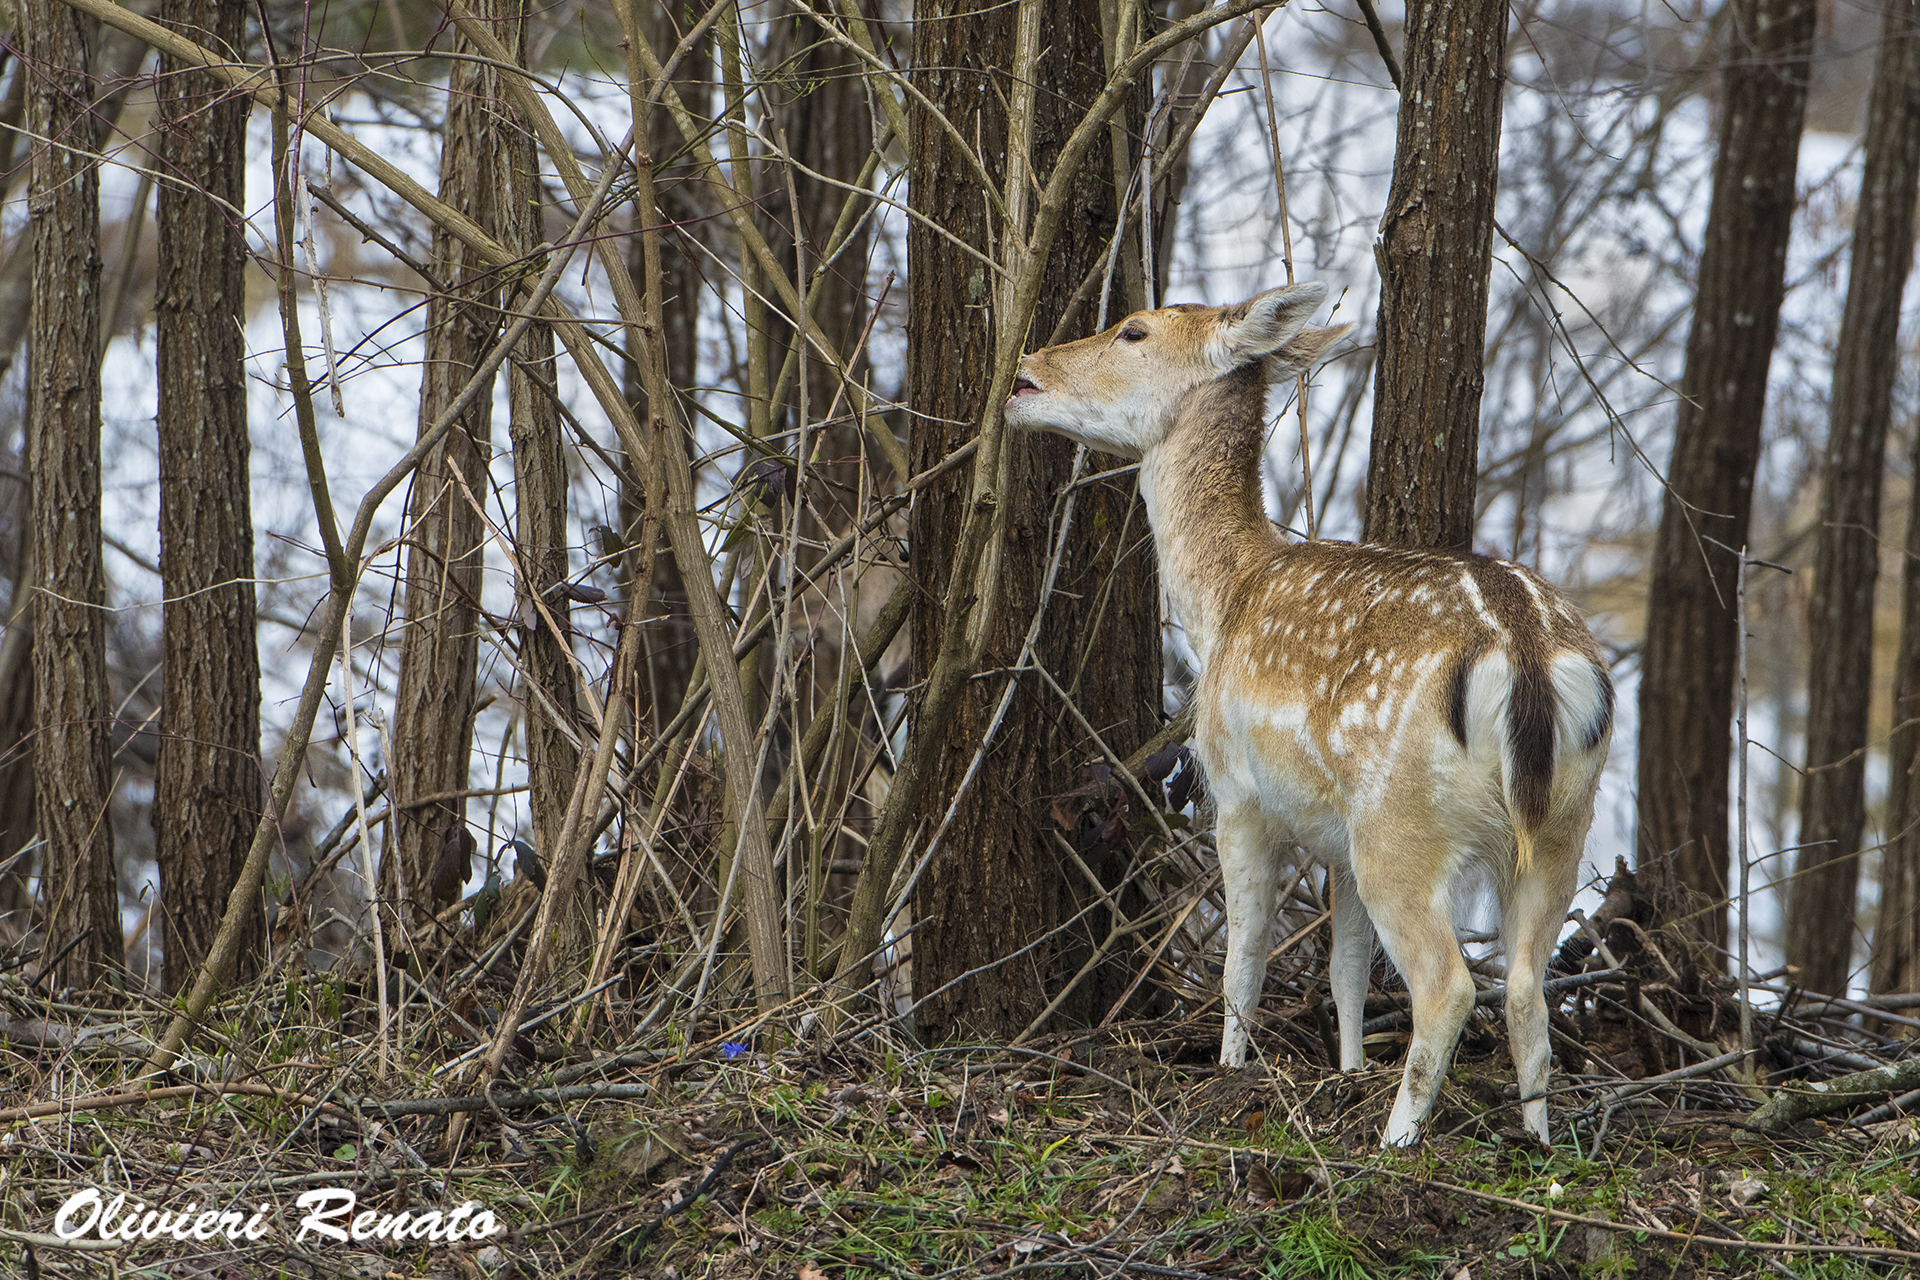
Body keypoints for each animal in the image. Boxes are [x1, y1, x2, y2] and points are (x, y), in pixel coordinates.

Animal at [1004, 283, 1612, 1146]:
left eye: (1134, 330)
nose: (1027, 367)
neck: (1221, 604)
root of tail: (1525, 654)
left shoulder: (1233, 791)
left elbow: (1245, 953)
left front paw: (1230, 1071)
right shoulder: (1337, 841)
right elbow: (1346, 965)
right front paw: (1347, 1070)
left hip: (1403, 823)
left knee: (1451, 985)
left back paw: (1396, 1140)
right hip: (1561, 822)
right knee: (1527, 984)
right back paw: (1539, 1140)